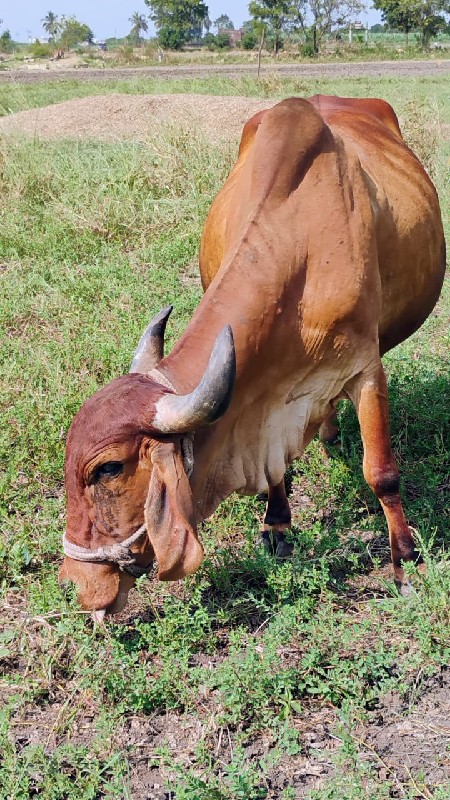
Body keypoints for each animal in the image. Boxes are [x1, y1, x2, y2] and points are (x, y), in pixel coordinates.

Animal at [60, 94, 446, 620]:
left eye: (108, 468)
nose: (74, 582)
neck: (302, 245)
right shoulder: (263, 396)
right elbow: (276, 468)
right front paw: (278, 525)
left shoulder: (366, 369)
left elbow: (382, 473)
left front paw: (406, 564)